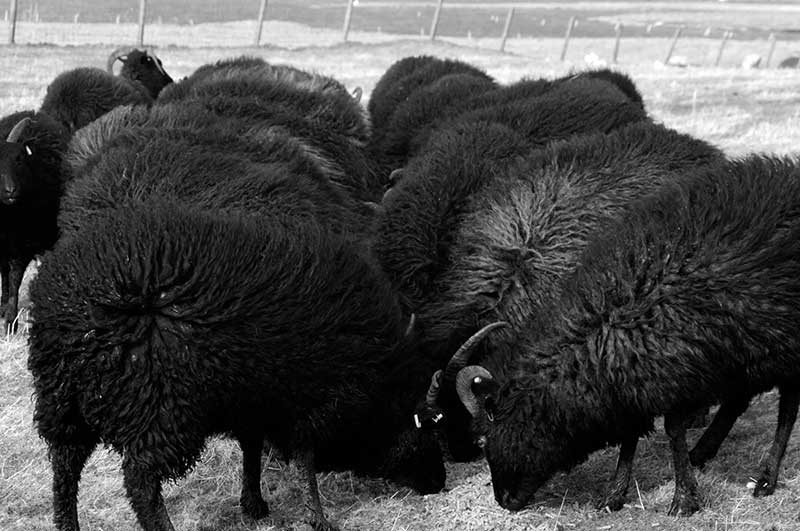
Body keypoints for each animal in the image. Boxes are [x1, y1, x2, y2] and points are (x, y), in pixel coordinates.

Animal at [454, 156, 800, 516]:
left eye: (483, 437)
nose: (504, 501)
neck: (601, 324)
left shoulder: (671, 375)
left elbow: (671, 431)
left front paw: (683, 499)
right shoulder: (630, 381)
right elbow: (630, 435)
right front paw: (615, 494)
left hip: (784, 343)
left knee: (788, 405)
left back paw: (766, 478)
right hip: (744, 352)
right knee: (739, 399)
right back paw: (704, 451)